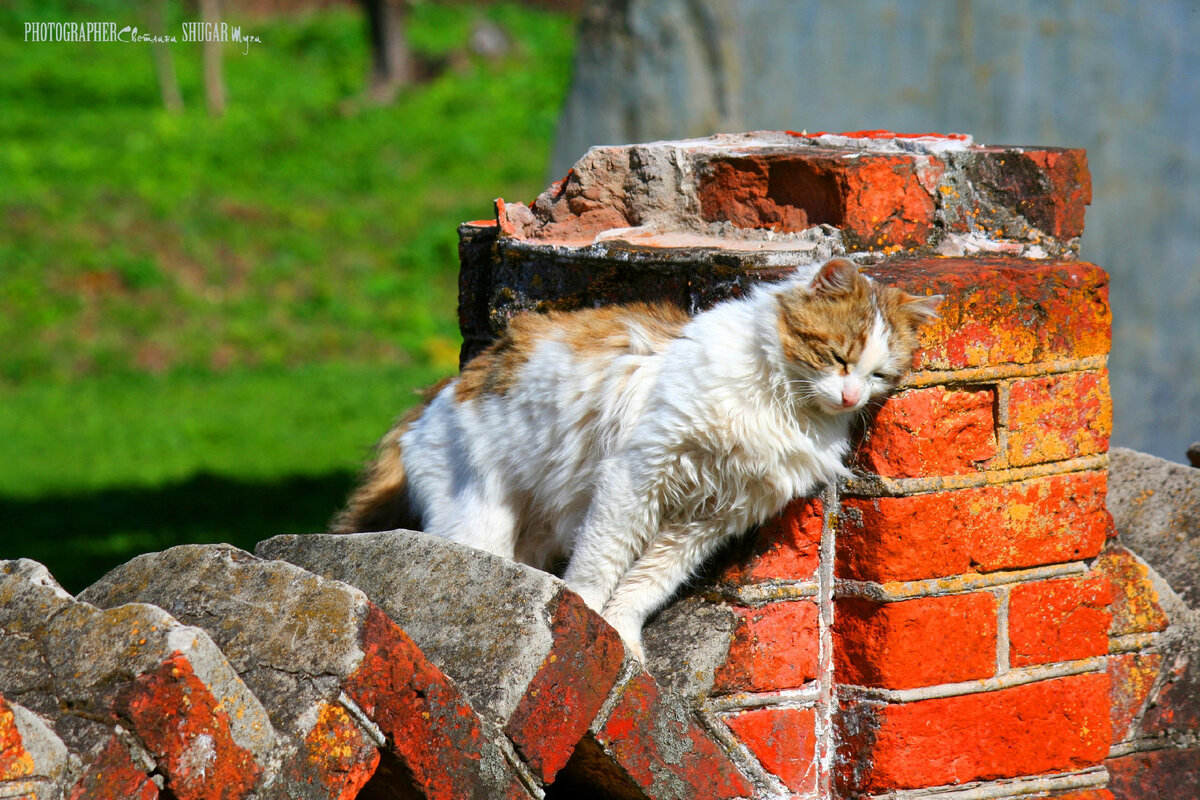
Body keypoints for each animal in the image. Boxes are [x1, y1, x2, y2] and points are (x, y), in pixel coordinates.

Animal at [333, 256, 940, 657]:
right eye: (839, 357)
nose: (851, 397)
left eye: (878, 376)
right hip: (478, 521)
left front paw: (621, 637)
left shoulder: (709, 519)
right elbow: (601, 563)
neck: (780, 407)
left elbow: (648, 583)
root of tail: (438, 393)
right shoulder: (639, 473)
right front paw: (582, 617)